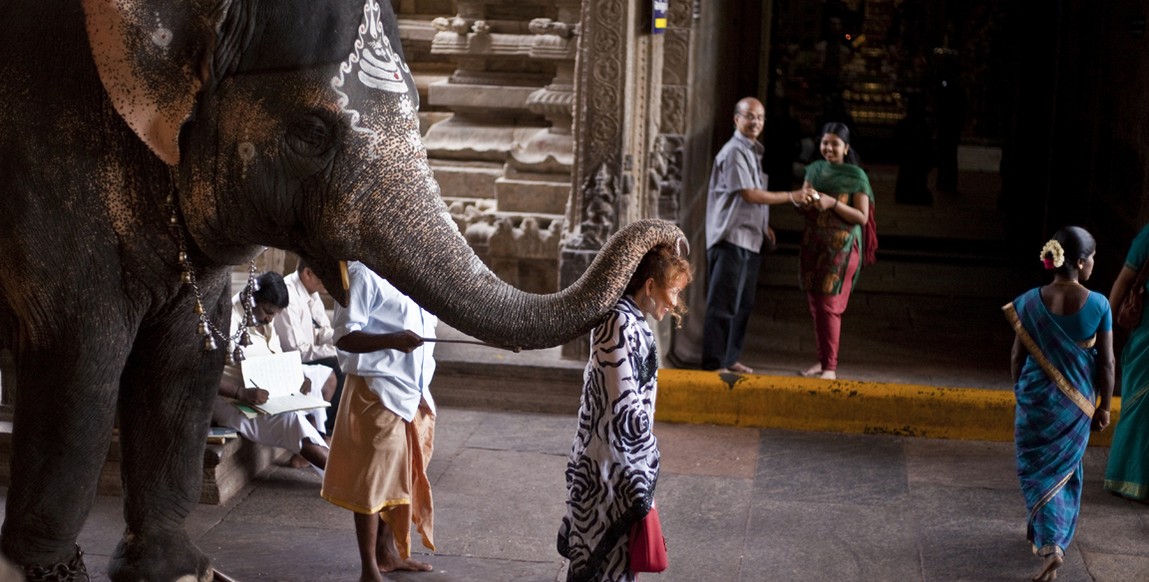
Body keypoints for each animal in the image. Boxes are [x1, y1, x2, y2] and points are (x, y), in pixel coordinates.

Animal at [0, 2, 680, 580]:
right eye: (311, 132)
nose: (670, 240)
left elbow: (187, 359)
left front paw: (180, 572)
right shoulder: (48, 167)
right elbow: (82, 357)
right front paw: (47, 571)